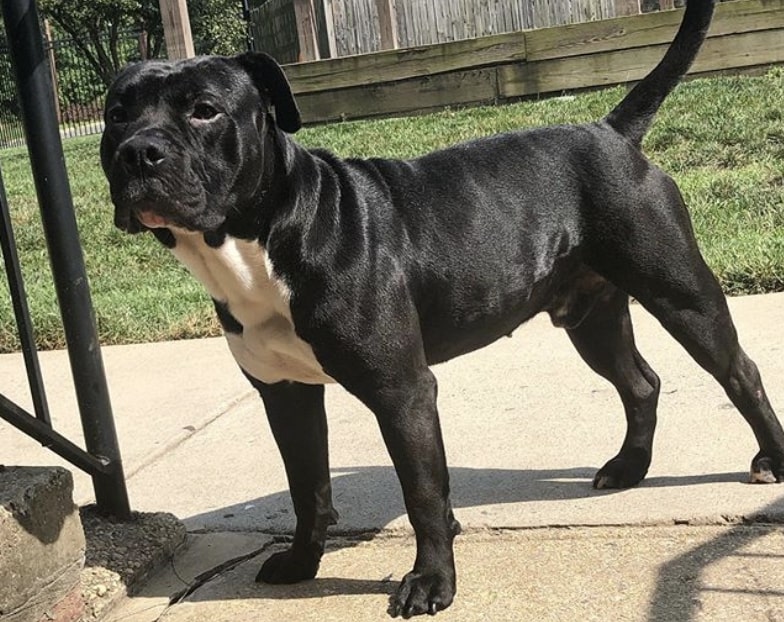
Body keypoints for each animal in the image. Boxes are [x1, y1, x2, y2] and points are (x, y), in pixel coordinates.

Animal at [101, 0, 784, 616]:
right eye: (116, 113)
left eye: (205, 110)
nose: (138, 151)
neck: (263, 237)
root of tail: (610, 130)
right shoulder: (286, 396)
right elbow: (307, 487)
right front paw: (301, 562)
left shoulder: (401, 391)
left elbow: (423, 493)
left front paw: (432, 582)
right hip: (591, 317)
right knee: (640, 383)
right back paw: (628, 467)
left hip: (681, 294)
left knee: (739, 371)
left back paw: (770, 458)